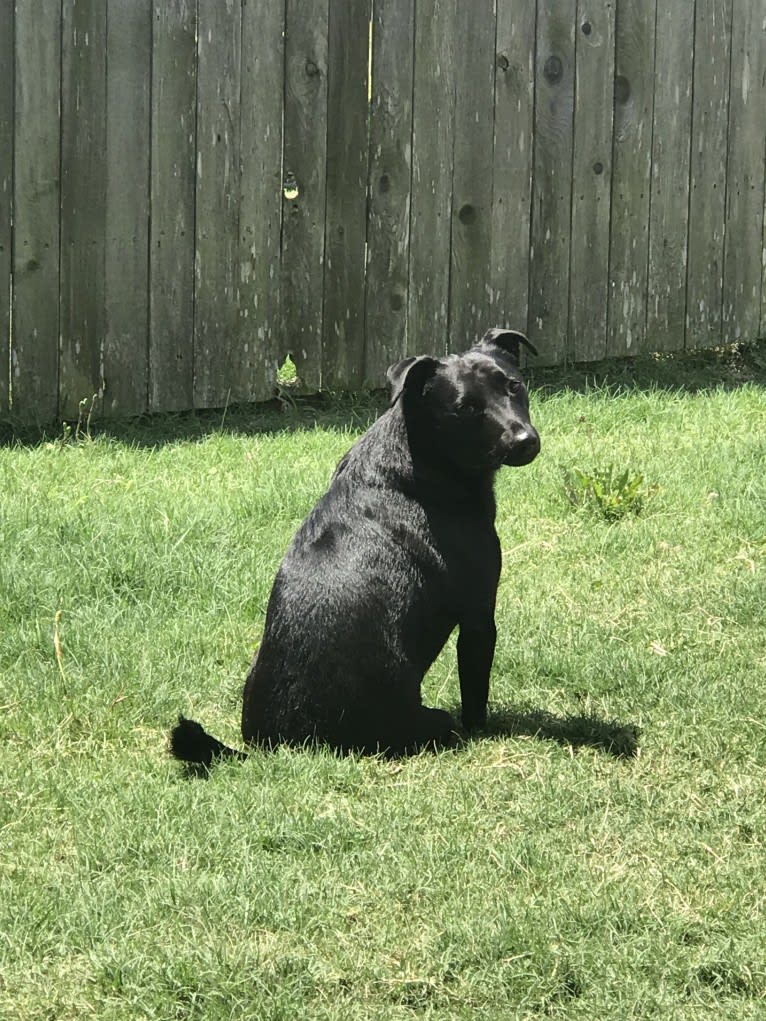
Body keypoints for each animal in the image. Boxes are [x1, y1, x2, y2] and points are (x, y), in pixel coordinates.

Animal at [169, 322, 539, 763]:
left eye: (515, 386)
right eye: (465, 408)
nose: (525, 440)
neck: (423, 459)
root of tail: (275, 747)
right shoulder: (479, 613)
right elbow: (475, 691)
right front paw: (486, 729)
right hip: (431, 720)